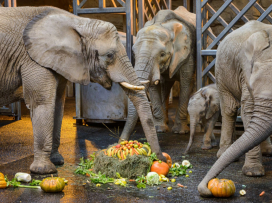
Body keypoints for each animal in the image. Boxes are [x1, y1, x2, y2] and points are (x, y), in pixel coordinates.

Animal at [0, 6, 164, 174]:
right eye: (109, 55)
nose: (161, 159)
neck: (78, 22)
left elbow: (57, 104)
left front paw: (57, 161)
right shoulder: (32, 59)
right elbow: (41, 103)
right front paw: (44, 171)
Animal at [120, 6, 197, 140]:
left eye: (162, 54)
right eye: (133, 53)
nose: (120, 141)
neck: (162, 24)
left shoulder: (188, 53)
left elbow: (186, 83)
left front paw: (180, 132)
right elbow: (153, 86)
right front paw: (159, 129)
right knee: (165, 86)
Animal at [199, 20, 272, 197]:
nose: (205, 189)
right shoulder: (245, 71)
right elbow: (249, 109)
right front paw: (253, 173)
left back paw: (268, 151)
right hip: (221, 70)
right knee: (229, 109)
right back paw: (224, 153)